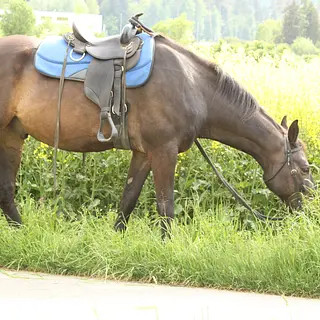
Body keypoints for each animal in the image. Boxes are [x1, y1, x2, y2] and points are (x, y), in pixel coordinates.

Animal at [0, 35, 316, 235]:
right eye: (304, 169)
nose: (310, 213)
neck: (192, 86)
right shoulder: (165, 151)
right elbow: (166, 206)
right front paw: (167, 246)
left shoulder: (144, 153)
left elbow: (128, 200)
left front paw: (117, 239)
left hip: (12, 135)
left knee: (6, 192)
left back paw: (21, 232)